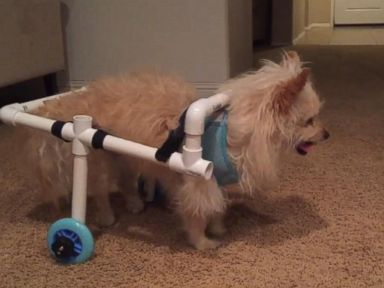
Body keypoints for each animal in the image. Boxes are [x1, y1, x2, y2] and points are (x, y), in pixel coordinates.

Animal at [22, 50, 328, 249]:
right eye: (309, 121)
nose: (327, 134)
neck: (236, 135)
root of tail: (86, 94)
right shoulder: (199, 185)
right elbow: (197, 216)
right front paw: (203, 242)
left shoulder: (216, 183)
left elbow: (218, 209)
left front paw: (219, 228)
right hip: (99, 153)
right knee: (99, 191)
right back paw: (105, 218)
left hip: (126, 157)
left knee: (126, 182)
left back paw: (135, 203)